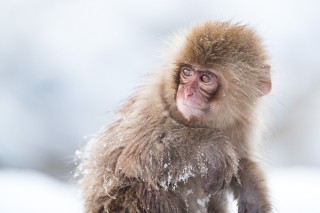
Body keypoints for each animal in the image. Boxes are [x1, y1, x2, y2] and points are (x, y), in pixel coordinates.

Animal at [77, 22, 272, 213]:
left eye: (205, 78)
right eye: (187, 72)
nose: (187, 92)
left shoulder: (243, 124)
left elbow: (243, 161)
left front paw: (253, 195)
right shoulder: (151, 104)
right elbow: (134, 158)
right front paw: (211, 147)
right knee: (150, 187)